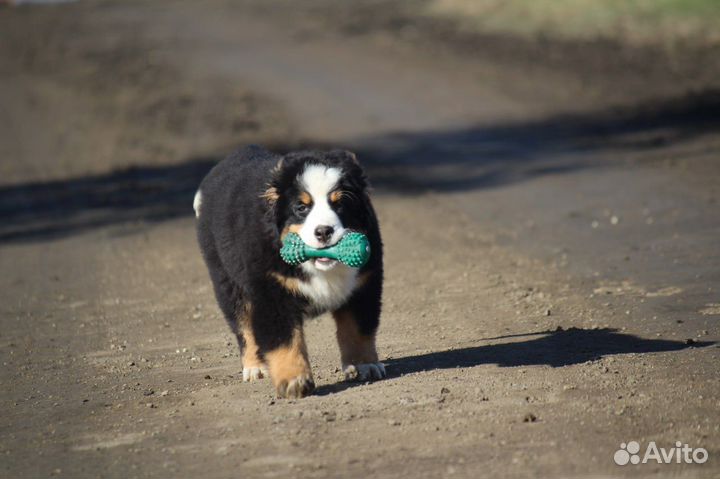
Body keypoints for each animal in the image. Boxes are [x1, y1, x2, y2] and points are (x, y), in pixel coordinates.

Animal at [191, 145, 382, 398]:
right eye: (301, 208)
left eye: (340, 204)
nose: (324, 231)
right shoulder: (271, 292)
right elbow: (284, 340)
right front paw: (294, 380)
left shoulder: (363, 285)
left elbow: (357, 329)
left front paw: (365, 365)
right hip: (228, 281)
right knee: (244, 326)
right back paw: (254, 367)